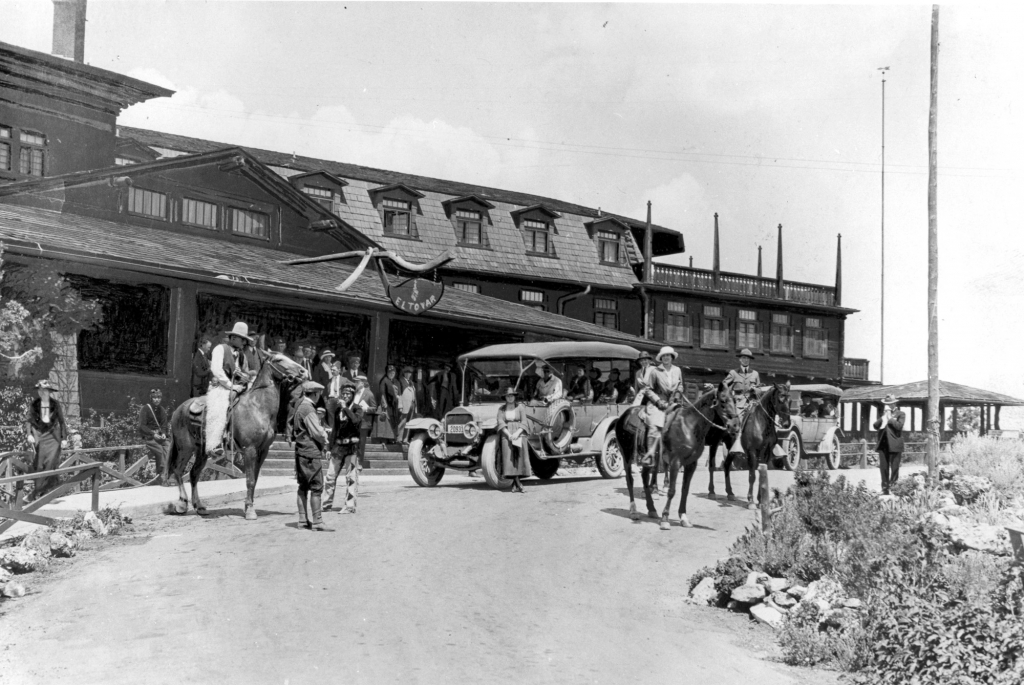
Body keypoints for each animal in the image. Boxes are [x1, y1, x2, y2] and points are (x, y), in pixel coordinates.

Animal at [163, 352, 305, 518]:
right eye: (279, 359)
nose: (303, 371)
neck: (258, 408)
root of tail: (178, 409)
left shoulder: (263, 451)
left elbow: (255, 479)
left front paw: (249, 505)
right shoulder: (249, 449)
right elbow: (250, 480)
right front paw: (250, 510)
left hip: (201, 451)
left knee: (193, 474)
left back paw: (199, 506)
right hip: (185, 448)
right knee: (178, 470)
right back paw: (182, 504)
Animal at [610, 382, 741, 532]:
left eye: (735, 400)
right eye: (723, 401)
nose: (735, 426)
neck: (689, 426)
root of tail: (623, 416)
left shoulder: (691, 464)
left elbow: (685, 490)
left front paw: (683, 517)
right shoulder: (675, 462)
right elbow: (672, 490)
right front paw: (665, 519)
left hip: (649, 460)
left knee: (645, 478)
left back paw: (651, 509)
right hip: (626, 454)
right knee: (630, 480)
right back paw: (633, 511)